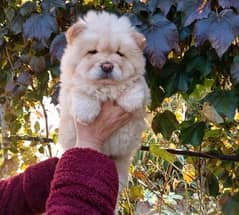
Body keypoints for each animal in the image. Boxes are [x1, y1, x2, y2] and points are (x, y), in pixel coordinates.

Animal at [59, 10, 150, 197]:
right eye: (92, 52)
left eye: (120, 54)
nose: (107, 66)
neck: (106, 88)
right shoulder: (69, 87)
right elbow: (81, 89)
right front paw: (86, 112)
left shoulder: (143, 88)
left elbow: (136, 84)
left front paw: (130, 100)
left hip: (121, 160)